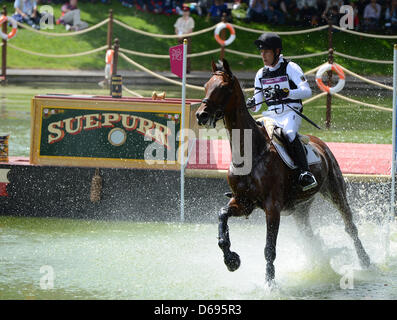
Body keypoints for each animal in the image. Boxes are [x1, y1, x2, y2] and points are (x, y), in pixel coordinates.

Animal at [196, 59, 370, 284]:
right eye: (206, 85)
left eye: (224, 87)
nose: (201, 115)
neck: (250, 153)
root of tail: (321, 144)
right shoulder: (244, 202)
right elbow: (222, 216)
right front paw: (231, 260)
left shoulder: (273, 207)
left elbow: (269, 249)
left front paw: (270, 284)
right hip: (301, 208)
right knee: (310, 236)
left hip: (335, 191)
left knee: (350, 226)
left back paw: (365, 261)